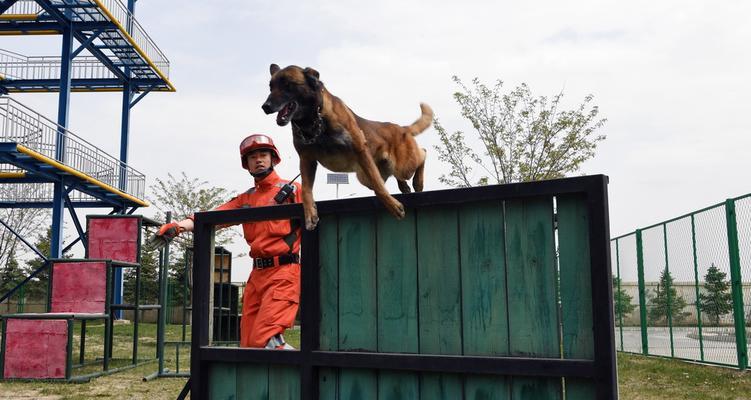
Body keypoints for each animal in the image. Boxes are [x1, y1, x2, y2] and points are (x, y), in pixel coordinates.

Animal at [262, 64, 432, 230]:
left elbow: (378, 185)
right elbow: (305, 190)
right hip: (366, 177)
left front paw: (392, 206)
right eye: (270, 87)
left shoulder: (360, 150)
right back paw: (404, 186)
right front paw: (310, 214)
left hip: (403, 166)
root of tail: (401, 128)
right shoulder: (306, 160)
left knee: (422, 154)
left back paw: (417, 182)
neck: (315, 119)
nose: (265, 107)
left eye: (288, 85)